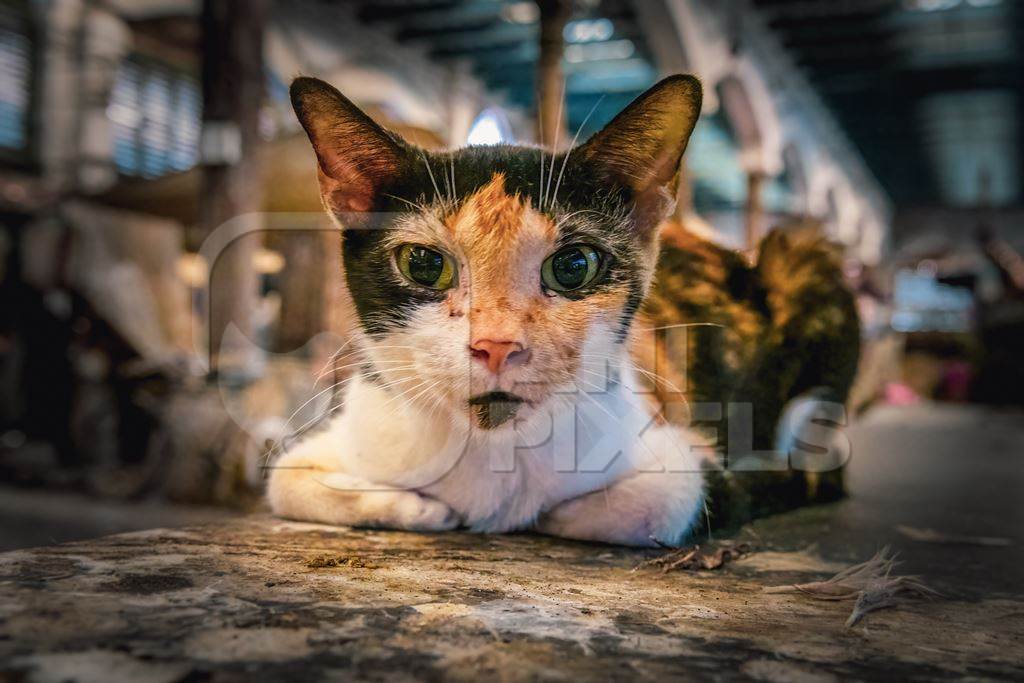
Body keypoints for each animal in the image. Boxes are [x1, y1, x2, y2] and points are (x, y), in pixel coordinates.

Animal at [268, 73, 860, 544]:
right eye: (423, 264)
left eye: (573, 266)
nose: (497, 345)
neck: (497, 448)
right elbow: (285, 479)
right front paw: (423, 508)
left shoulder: (680, 447)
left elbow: (671, 497)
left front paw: (547, 515)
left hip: (803, 262)